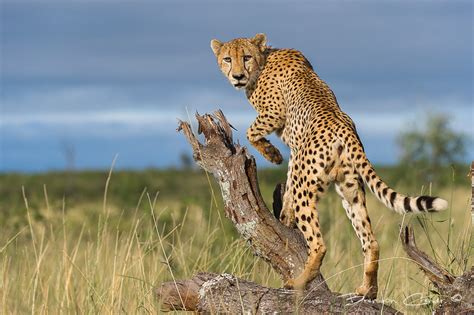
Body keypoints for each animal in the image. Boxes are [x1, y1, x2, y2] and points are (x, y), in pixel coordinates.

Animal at [211, 33, 448, 300]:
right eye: (227, 59)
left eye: (246, 57)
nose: (237, 76)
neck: (263, 60)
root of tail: (345, 128)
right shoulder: (297, 150)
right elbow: (290, 175)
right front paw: (285, 212)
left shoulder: (275, 114)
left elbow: (252, 133)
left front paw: (272, 155)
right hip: (350, 190)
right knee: (370, 241)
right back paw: (368, 289)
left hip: (312, 192)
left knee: (319, 243)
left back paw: (299, 282)